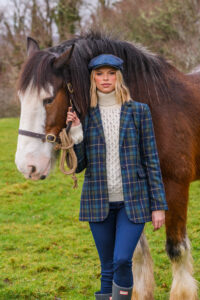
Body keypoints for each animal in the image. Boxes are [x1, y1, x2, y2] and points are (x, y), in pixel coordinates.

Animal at [15, 31, 200, 300]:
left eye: (48, 99)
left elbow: (176, 249)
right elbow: (134, 252)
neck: (159, 107)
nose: (27, 166)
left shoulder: (176, 187)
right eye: (21, 98)